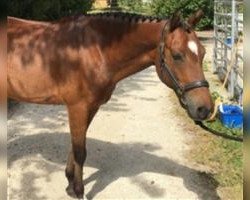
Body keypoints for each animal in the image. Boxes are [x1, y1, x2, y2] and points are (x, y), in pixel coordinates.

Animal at [7, 10, 213, 198]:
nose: (205, 109)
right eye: (177, 56)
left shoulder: (90, 107)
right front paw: (79, 191)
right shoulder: (77, 107)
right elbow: (80, 151)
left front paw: (70, 185)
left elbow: (75, 146)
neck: (93, 50)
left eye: (203, 53)